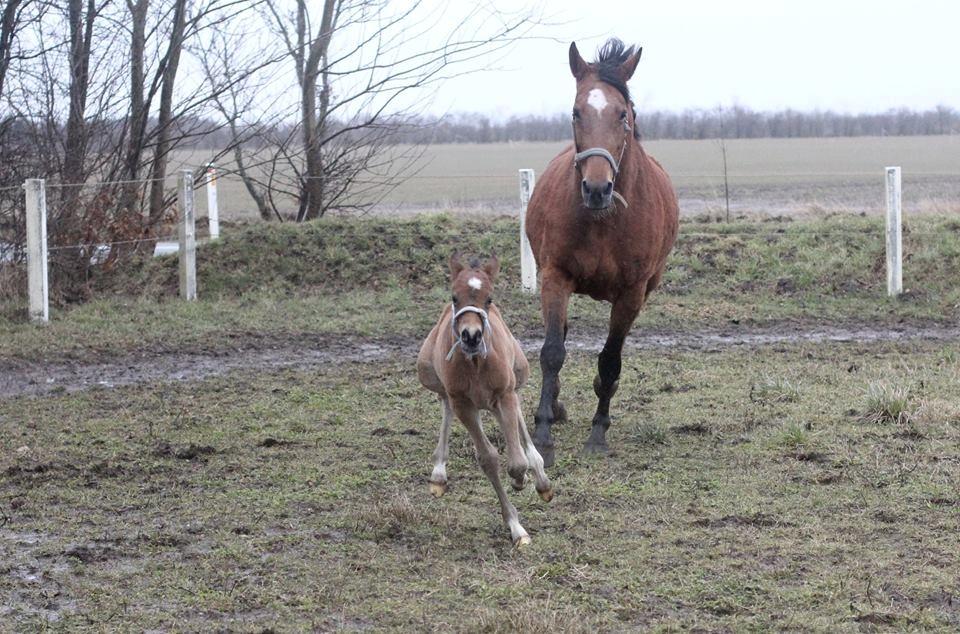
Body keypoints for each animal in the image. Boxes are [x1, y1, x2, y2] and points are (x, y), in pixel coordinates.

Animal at [524, 39, 684, 464]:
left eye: (623, 114)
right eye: (576, 111)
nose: (597, 189)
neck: (602, 220)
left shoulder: (631, 292)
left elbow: (611, 359)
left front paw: (598, 433)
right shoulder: (555, 277)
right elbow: (552, 351)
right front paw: (543, 434)